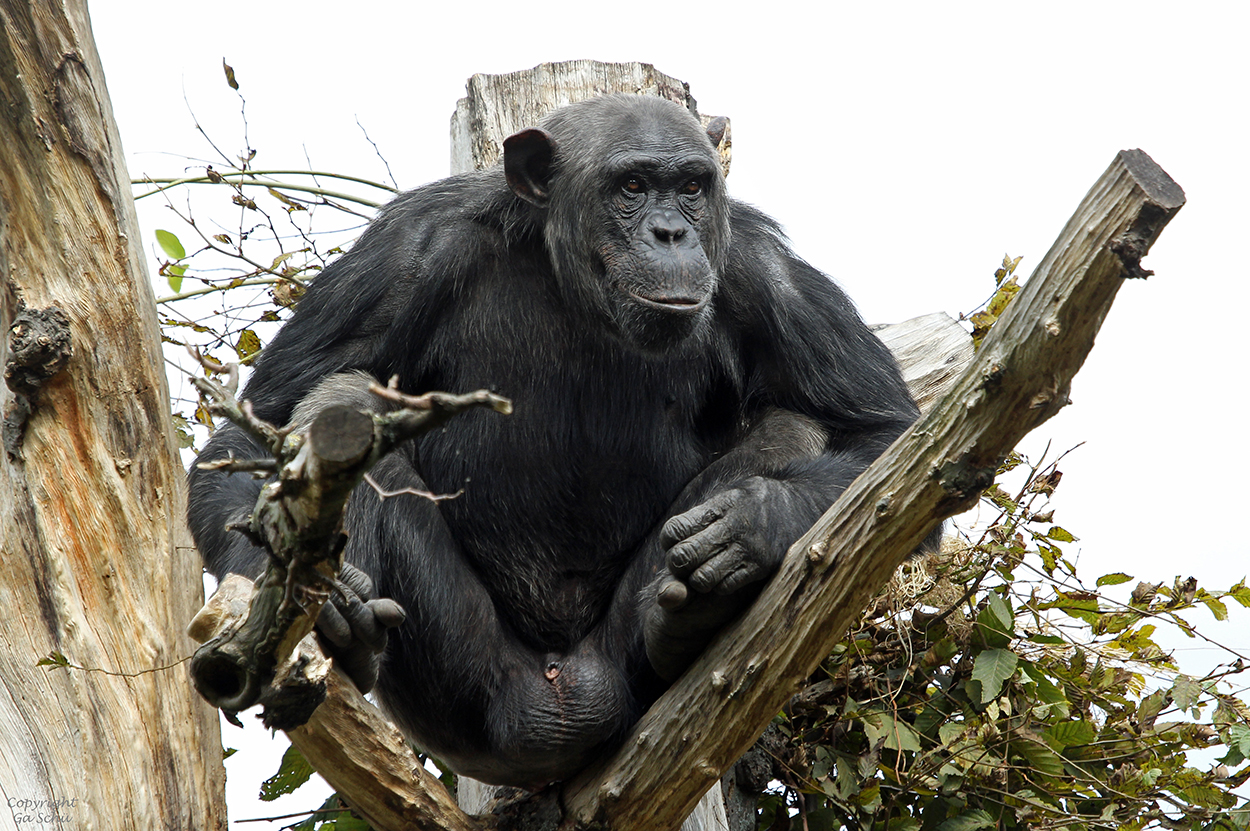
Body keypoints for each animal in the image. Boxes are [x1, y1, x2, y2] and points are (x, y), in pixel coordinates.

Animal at [190, 92, 925, 784]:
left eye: (691, 186)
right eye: (632, 186)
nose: (670, 232)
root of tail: (564, 707)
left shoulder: (765, 273)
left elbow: (884, 433)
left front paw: (753, 523)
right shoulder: (400, 256)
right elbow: (251, 433)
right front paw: (292, 592)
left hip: (620, 672)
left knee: (794, 426)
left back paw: (692, 616)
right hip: (471, 701)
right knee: (344, 400)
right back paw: (345, 625)